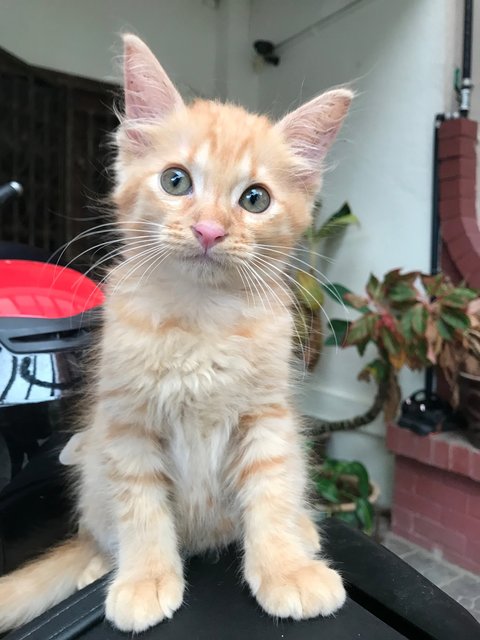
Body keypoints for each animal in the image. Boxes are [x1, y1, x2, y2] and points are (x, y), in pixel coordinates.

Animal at [0, 33, 352, 632]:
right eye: (176, 181)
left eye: (255, 199)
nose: (209, 230)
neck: (200, 317)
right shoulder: (126, 426)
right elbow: (141, 508)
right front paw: (144, 580)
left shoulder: (267, 417)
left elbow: (271, 491)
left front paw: (284, 569)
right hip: (92, 473)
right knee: (99, 530)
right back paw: (99, 566)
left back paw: (302, 531)